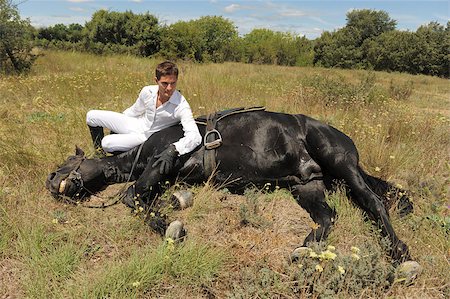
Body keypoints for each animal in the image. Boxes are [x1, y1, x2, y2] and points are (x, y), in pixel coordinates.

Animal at [45, 110, 414, 268]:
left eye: (67, 161)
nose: (50, 181)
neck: (140, 152)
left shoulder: (165, 160)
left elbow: (130, 195)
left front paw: (170, 227)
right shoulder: (169, 177)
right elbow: (147, 197)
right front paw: (171, 211)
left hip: (341, 164)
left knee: (373, 202)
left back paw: (400, 255)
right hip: (307, 185)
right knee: (327, 216)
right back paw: (305, 248)